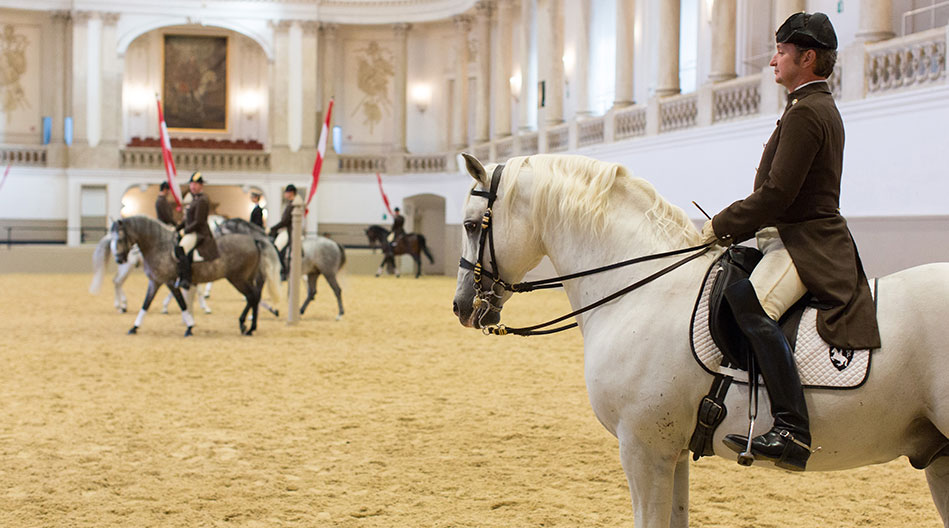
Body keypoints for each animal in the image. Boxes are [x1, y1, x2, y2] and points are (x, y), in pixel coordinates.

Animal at [110, 213, 280, 334]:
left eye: (120, 238)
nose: (118, 259)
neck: (158, 246)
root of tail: (254, 240)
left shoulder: (170, 282)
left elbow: (182, 303)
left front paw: (190, 326)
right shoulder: (156, 281)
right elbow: (146, 303)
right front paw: (134, 327)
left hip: (238, 278)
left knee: (252, 296)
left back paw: (247, 325)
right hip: (246, 278)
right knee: (254, 297)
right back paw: (250, 326)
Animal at [217, 218, 346, 320]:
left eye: (221, 232)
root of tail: (334, 243)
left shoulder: (260, 278)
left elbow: (257, 295)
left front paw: (264, 313)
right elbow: (256, 295)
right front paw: (266, 312)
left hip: (328, 273)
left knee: (337, 290)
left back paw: (339, 314)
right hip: (313, 273)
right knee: (312, 292)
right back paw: (300, 311)